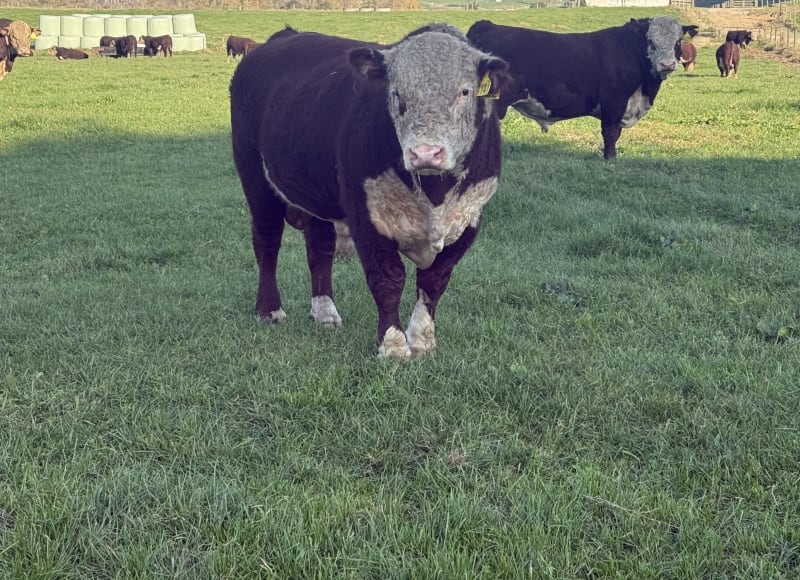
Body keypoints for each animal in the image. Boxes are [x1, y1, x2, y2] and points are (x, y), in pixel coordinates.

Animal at [230, 25, 511, 358]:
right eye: (396, 93)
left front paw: (422, 340)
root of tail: (282, 37)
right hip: (255, 178)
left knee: (320, 248)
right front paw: (393, 345)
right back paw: (269, 309)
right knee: (267, 241)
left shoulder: (469, 219)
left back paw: (324, 312)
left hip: (317, 195)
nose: (425, 153)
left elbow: (434, 280)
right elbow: (388, 279)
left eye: (464, 92)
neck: (435, 195)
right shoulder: (366, 217)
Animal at [467, 17, 696, 159]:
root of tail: (487, 25)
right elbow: (610, 134)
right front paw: (610, 159)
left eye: (678, 41)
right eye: (650, 41)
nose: (667, 64)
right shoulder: (614, 102)